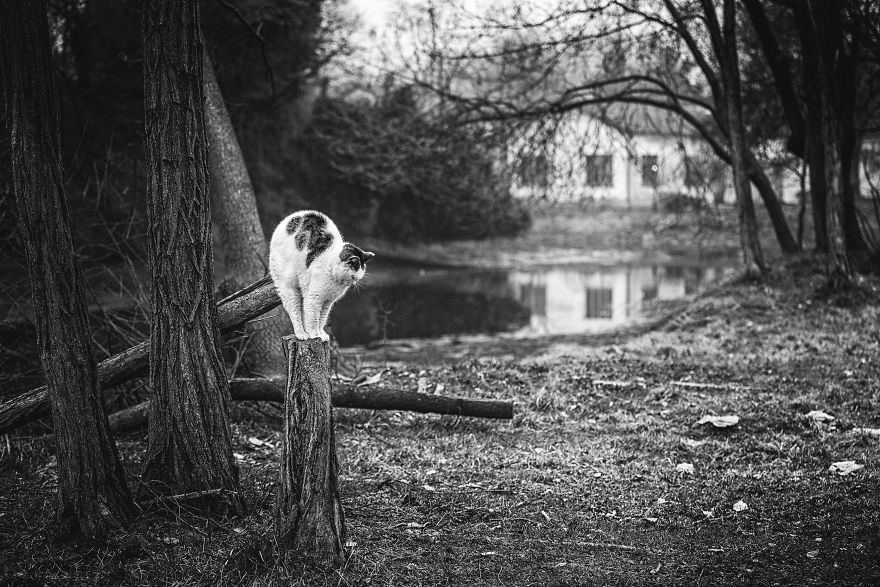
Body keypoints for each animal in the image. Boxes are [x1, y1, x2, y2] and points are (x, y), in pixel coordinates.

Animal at [266, 210, 372, 340]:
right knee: (295, 312)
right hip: (289, 288)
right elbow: (313, 318)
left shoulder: (327, 302)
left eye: (358, 278)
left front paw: (321, 333)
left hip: (304, 289)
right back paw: (302, 334)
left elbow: (322, 319)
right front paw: (315, 335)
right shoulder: (314, 298)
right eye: (353, 277)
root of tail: (289, 218)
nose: (352, 284)